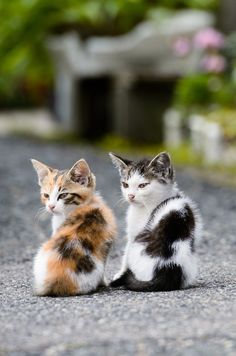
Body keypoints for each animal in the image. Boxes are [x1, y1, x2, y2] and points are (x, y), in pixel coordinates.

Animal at [109, 152, 202, 290]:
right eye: (125, 185)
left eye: (142, 185)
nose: (130, 196)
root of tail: (168, 267)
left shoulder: (134, 234)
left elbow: (125, 255)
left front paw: (119, 274)